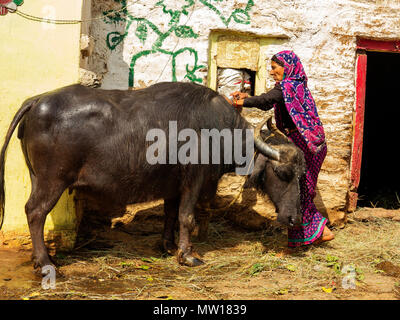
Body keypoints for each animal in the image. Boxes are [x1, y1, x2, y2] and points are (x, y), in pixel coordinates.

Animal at [0, 81, 304, 272]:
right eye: (283, 172)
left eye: (302, 173)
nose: (294, 219)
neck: (218, 130)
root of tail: (38, 100)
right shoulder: (193, 180)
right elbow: (186, 216)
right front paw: (188, 255)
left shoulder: (173, 186)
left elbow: (170, 215)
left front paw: (167, 246)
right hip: (52, 180)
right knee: (35, 212)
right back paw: (46, 262)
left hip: (37, 176)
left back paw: (38, 258)